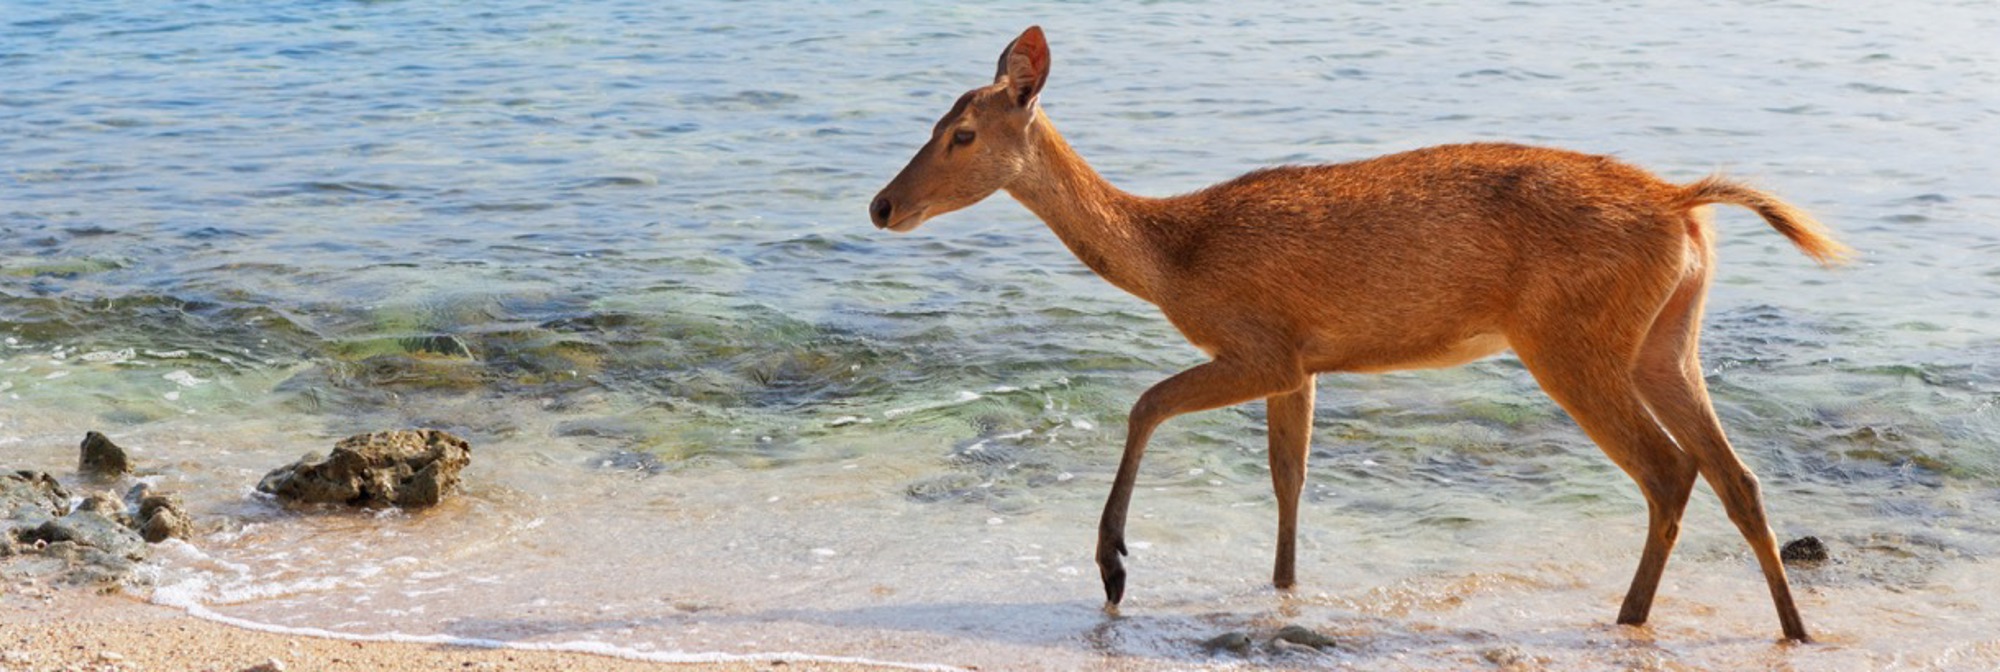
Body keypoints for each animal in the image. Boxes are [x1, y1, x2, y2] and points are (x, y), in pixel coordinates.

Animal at [869, 26, 1847, 642]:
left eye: (961, 133)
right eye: (933, 120)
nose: (880, 205)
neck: (1174, 256)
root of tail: (1684, 205)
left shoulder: (1260, 341)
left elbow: (1147, 402)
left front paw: (1112, 566)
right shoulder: (1302, 363)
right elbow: (1290, 479)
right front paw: (1281, 589)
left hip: (1570, 340)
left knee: (1669, 469)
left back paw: (1630, 618)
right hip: (1665, 339)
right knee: (1736, 474)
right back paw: (1794, 628)